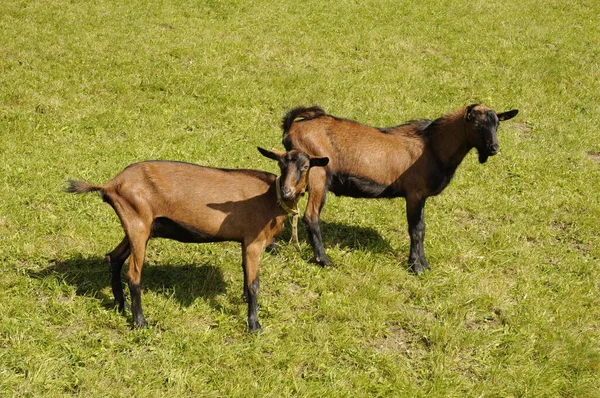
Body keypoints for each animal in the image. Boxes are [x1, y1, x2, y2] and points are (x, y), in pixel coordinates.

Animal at [64, 148, 328, 332]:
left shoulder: (245, 241)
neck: (269, 197)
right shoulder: (254, 241)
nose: (287, 192)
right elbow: (254, 284)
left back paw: (122, 306)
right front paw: (254, 325)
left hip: (140, 227)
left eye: (305, 166)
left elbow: (246, 274)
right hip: (137, 224)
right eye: (282, 165)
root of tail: (111, 184)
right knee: (133, 275)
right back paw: (140, 322)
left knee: (113, 257)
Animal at [284, 103, 516, 274]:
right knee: (311, 216)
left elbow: (421, 228)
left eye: (497, 125)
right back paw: (324, 260)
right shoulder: (415, 193)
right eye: (476, 124)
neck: (433, 148)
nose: (493, 148)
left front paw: (424, 264)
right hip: (318, 175)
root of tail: (292, 128)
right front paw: (417, 267)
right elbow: (416, 229)